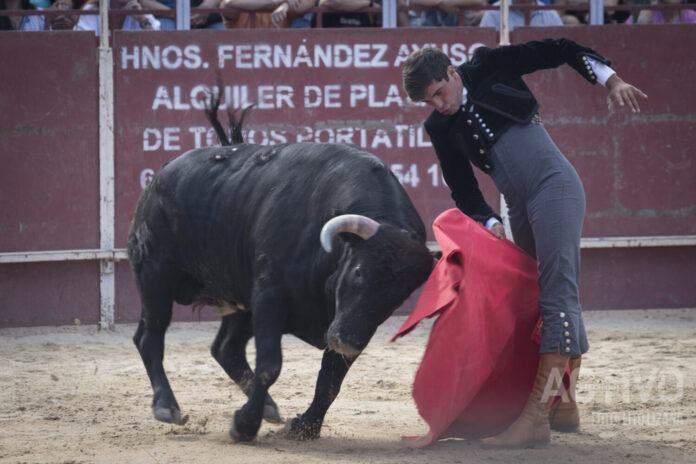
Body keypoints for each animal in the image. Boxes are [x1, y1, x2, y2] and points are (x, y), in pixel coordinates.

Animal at [128, 141, 436, 442]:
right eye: (359, 271)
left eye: (400, 296)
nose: (347, 342)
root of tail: (159, 177)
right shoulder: (270, 295)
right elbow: (270, 365)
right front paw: (245, 426)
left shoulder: (346, 324)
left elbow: (330, 379)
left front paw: (305, 426)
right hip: (155, 275)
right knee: (150, 336)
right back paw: (167, 407)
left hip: (240, 299)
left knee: (226, 348)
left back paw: (267, 407)